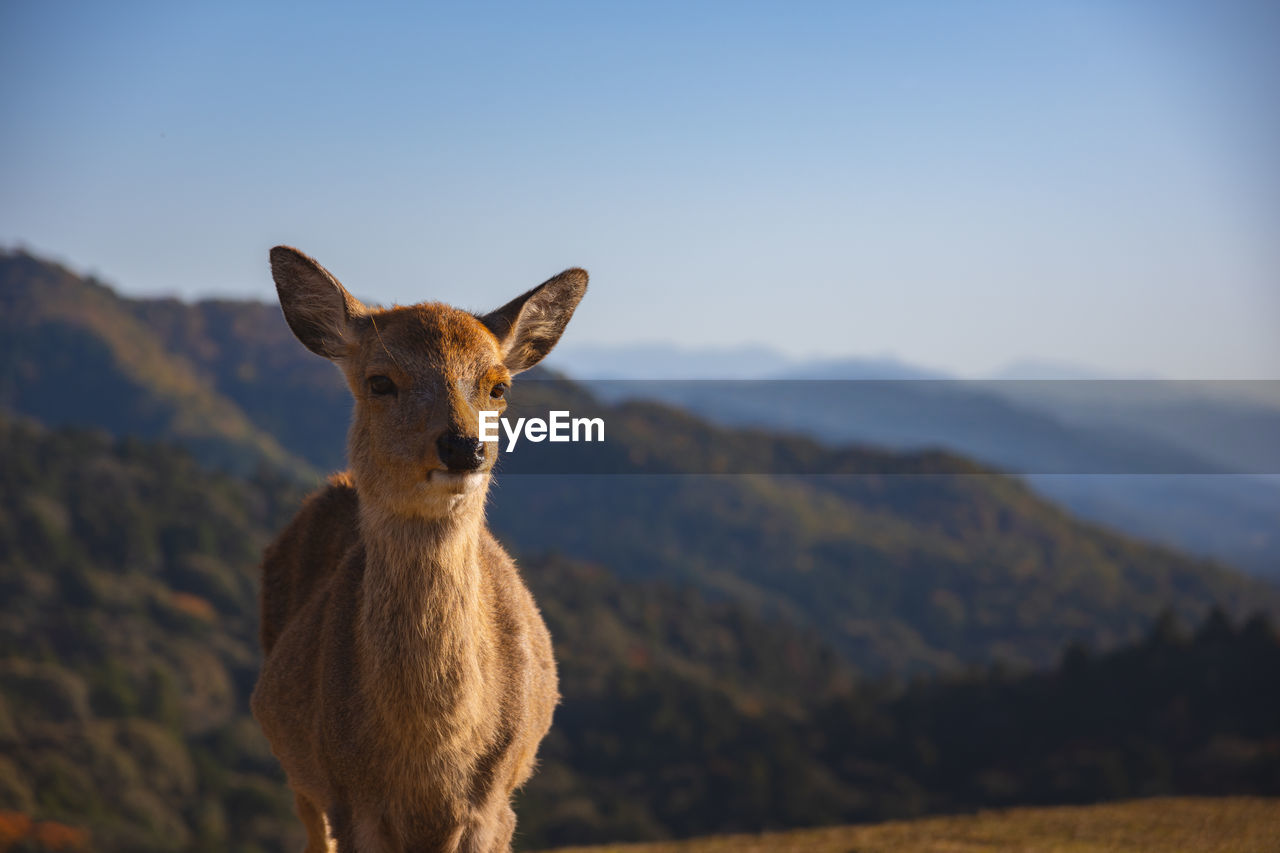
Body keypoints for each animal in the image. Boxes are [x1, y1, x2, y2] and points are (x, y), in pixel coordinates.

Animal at [254, 247, 586, 850]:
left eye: (499, 386)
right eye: (380, 381)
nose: (463, 446)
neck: (431, 757)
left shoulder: (496, 802)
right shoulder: (349, 799)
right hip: (299, 775)